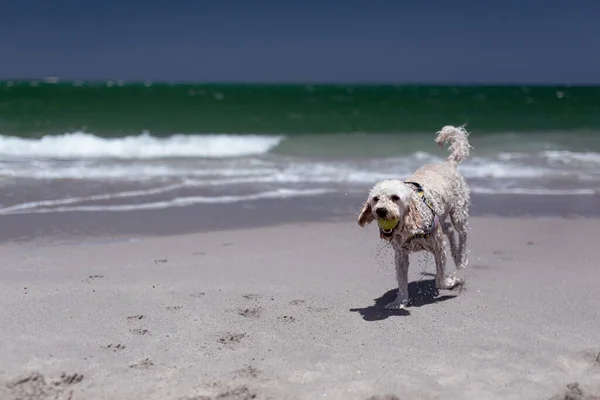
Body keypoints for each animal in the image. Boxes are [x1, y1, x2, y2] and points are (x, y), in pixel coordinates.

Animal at [356, 125, 474, 310]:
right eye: (375, 199)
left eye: (395, 198)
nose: (381, 211)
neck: (410, 224)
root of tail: (448, 163)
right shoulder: (401, 254)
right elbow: (401, 281)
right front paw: (400, 302)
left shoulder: (438, 248)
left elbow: (440, 280)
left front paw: (451, 282)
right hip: (442, 217)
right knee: (449, 229)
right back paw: (455, 254)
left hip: (458, 212)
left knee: (462, 233)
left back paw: (460, 258)